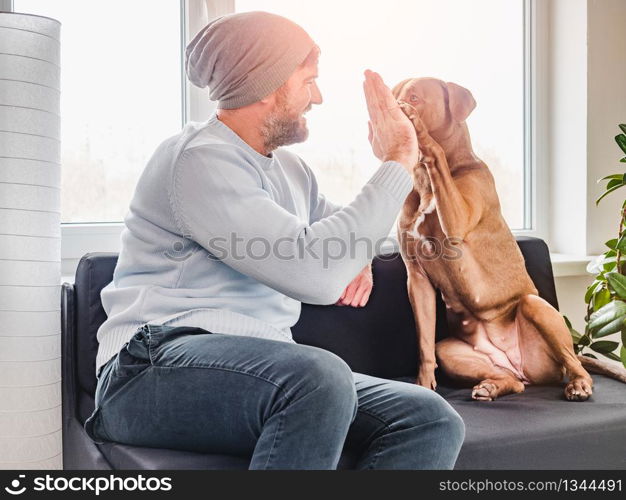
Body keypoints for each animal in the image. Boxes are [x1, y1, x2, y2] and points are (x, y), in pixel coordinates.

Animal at [390, 77, 620, 402]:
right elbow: (423, 344)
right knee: (512, 381)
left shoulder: (456, 220)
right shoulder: (417, 280)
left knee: (573, 362)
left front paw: (423, 134)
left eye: (414, 97)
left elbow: (436, 157)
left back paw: (578, 383)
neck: (425, 183)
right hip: (451, 350)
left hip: (537, 310)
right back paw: (493, 385)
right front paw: (423, 388)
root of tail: (514, 362)